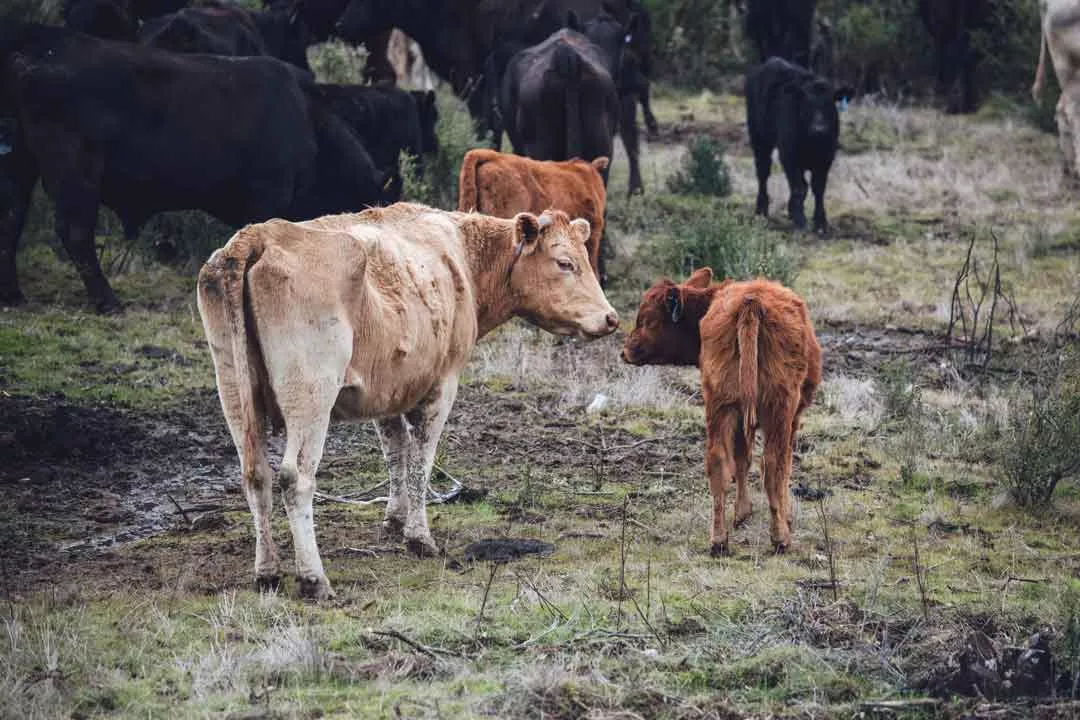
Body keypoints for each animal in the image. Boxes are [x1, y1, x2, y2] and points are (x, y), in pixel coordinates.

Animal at [0, 23, 389, 311]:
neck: (311, 123)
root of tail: (42, 41)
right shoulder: (267, 199)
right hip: (75, 171)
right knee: (75, 232)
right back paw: (108, 301)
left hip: (21, 163)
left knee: (12, 218)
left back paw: (13, 296)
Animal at [198, 204, 619, 599]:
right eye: (565, 263)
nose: (611, 318)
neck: (463, 258)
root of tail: (258, 236)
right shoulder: (443, 384)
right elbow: (420, 462)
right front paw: (418, 536)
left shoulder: (387, 389)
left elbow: (395, 453)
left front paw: (395, 519)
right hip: (311, 393)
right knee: (295, 478)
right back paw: (313, 578)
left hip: (233, 388)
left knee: (256, 475)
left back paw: (267, 572)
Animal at [622, 268, 821, 555]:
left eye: (647, 320)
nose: (625, 350)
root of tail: (751, 303)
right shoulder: (791, 417)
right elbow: (779, 465)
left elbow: (740, 460)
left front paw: (742, 513)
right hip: (778, 408)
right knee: (773, 463)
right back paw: (780, 538)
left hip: (720, 405)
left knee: (717, 462)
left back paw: (718, 541)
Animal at [746, 57, 849, 234]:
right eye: (807, 105)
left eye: (829, 104)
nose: (819, 129)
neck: (812, 143)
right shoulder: (789, 155)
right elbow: (799, 188)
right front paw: (801, 221)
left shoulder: (826, 158)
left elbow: (818, 188)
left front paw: (820, 223)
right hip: (759, 138)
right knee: (763, 172)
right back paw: (761, 210)